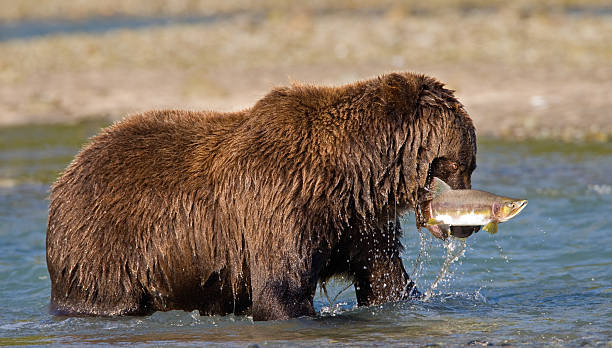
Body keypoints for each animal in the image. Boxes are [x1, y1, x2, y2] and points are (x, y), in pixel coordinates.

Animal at [46, 72, 478, 320]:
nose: (468, 228)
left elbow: (385, 278)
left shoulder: (357, 221)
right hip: (105, 246)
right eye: (464, 165)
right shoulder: (279, 203)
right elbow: (279, 290)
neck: (356, 172)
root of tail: (67, 172)